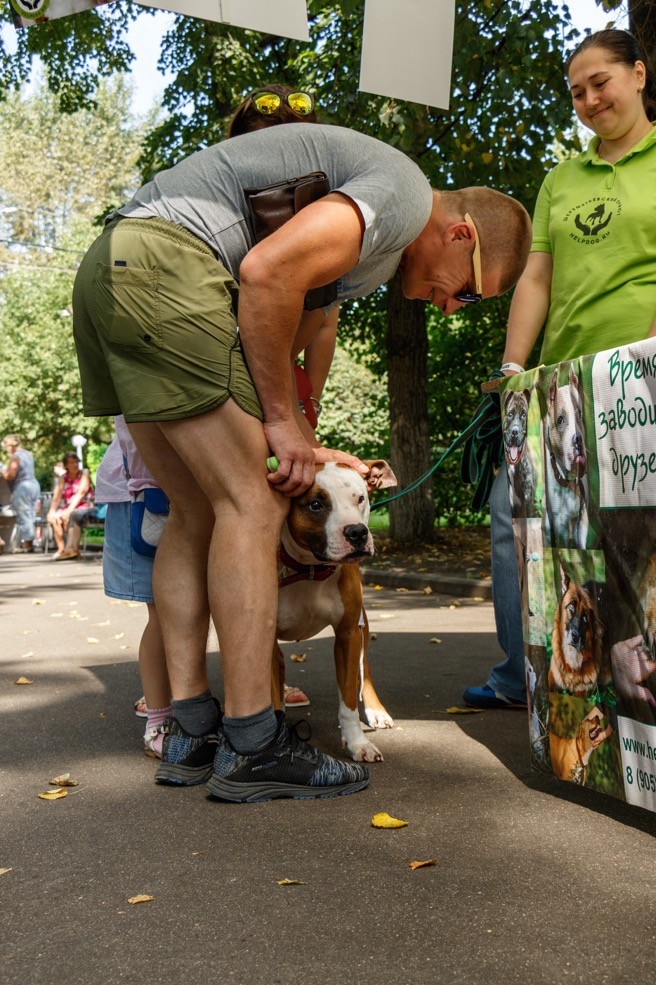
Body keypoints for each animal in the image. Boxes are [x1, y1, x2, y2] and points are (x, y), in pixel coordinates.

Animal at [272, 462, 394, 760]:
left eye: (360, 498)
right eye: (315, 505)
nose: (357, 532)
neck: (310, 569)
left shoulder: (348, 634)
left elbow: (349, 697)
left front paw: (358, 743)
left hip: (363, 624)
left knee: (365, 668)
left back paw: (377, 711)